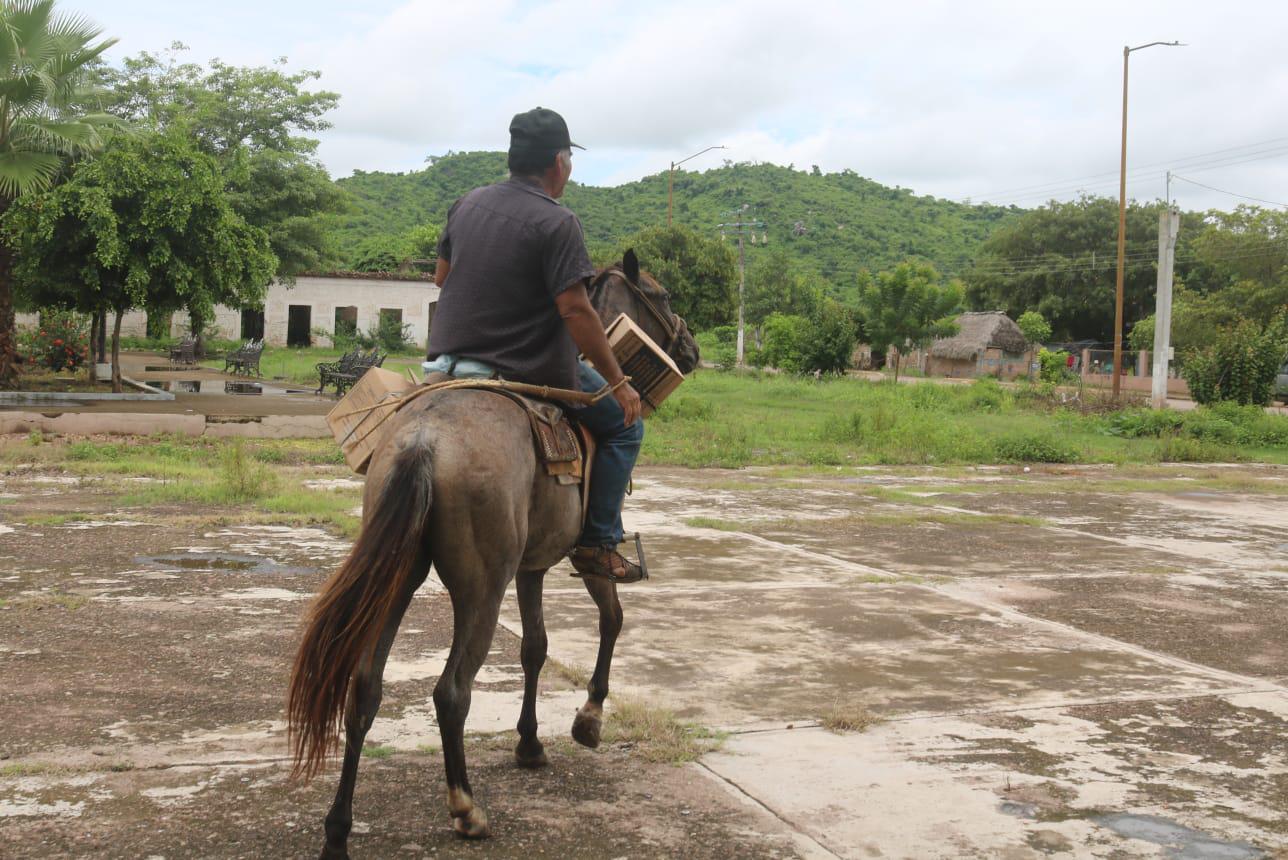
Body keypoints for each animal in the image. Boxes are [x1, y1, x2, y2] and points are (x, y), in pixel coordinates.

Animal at [287, 248, 700, 854]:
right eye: (663, 294)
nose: (691, 349)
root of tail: (424, 440)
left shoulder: (532, 567)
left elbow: (535, 647)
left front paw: (529, 743)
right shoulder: (584, 554)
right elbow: (611, 619)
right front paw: (588, 718)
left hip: (399, 577)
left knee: (364, 689)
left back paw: (338, 830)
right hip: (481, 587)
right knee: (451, 691)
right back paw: (466, 809)